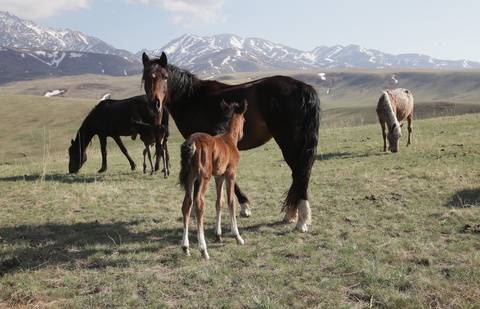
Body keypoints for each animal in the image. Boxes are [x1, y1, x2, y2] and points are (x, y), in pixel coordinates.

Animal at [143, 52, 322, 231]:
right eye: (145, 77)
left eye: (165, 77)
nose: (154, 104)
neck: (192, 99)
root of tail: (304, 88)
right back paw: (292, 215)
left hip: (289, 144)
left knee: (300, 173)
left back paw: (301, 220)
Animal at [179, 99, 248, 258]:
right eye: (244, 119)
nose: (243, 134)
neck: (229, 139)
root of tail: (191, 142)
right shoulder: (230, 174)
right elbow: (230, 201)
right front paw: (237, 236)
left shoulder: (219, 177)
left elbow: (219, 202)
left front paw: (218, 235)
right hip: (204, 177)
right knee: (199, 204)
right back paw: (203, 249)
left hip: (191, 177)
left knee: (187, 204)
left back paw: (185, 247)